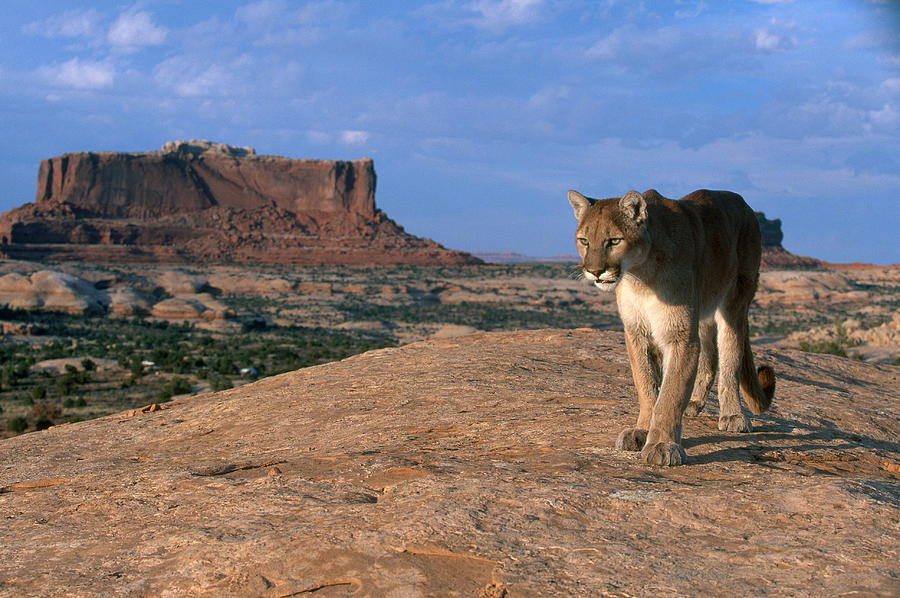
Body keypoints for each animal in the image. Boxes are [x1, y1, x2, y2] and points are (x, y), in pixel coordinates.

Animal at [568, 190, 772, 466]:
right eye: (584, 241)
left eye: (614, 240)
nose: (594, 271)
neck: (640, 276)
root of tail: (744, 204)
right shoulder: (637, 333)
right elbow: (647, 387)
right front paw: (642, 431)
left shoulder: (680, 335)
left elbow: (670, 395)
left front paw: (662, 445)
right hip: (703, 309)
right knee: (709, 353)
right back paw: (694, 403)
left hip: (735, 303)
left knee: (730, 360)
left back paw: (732, 415)